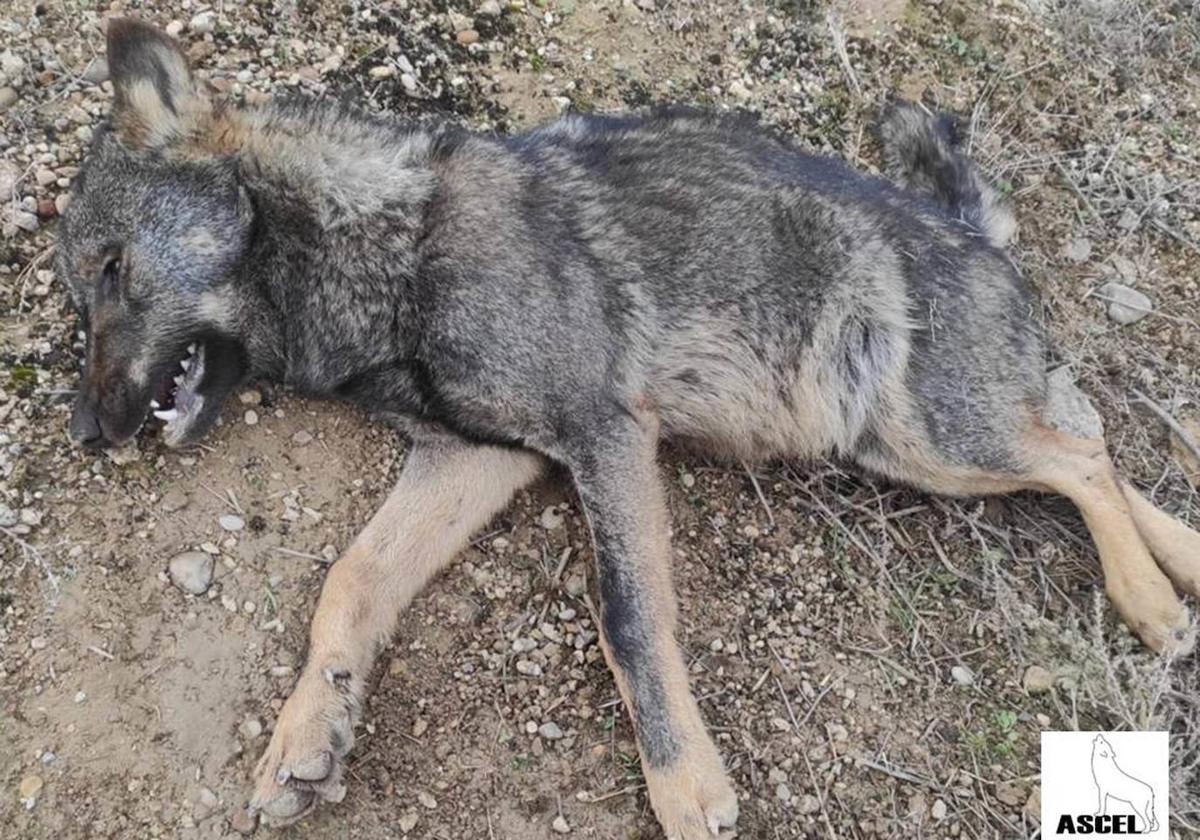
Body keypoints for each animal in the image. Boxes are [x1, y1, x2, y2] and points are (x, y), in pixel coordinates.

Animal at [58, 19, 1200, 840]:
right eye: (78, 297)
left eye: (113, 270)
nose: (84, 431)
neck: (391, 245)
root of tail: (970, 232)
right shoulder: (479, 456)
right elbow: (350, 581)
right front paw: (310, 730)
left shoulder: (602, 439)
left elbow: (628, 621)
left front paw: (684, 786)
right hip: (909, 445)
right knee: (1082, 441)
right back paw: (1181, 560)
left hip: (929, 439)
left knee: (1082, 450)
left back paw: (1148, 598)